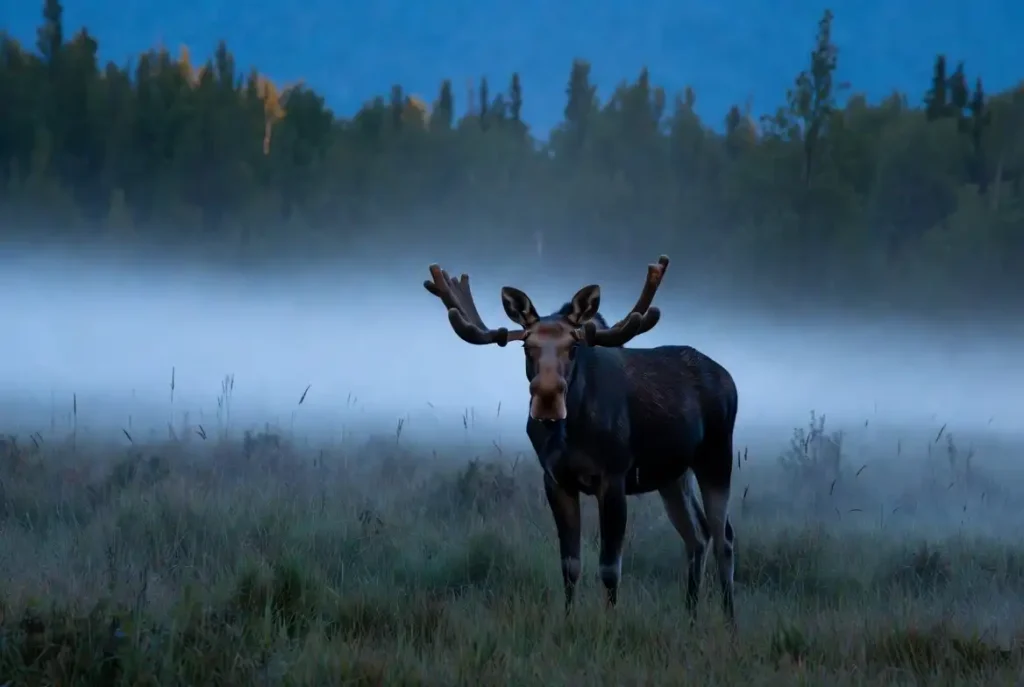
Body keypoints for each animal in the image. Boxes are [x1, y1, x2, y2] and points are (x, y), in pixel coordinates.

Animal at [424, 255, 738, 624]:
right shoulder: (556, 479)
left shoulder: (614, 476)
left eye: (573, 345)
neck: (571, 435)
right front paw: (568, 618)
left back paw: (729, 621)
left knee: (724, 536)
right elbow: (570, 564)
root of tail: (728, 378)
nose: (547, 396)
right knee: (697, 534)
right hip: (672, 474)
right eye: (526, 345)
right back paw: (690, 617)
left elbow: (610, 568)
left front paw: (610, 622)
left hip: (717, 454)